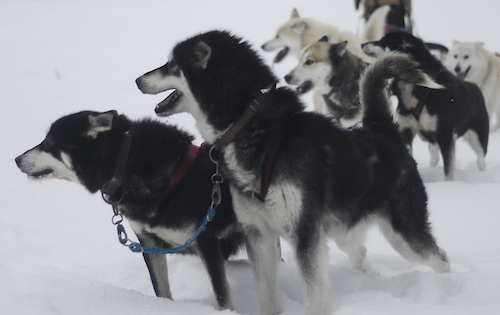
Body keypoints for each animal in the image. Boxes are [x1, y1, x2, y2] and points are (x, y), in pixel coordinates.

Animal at [17, 111, 246, 312]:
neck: (124, 164)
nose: (16, 159)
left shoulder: (205, 240)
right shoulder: (148, 242)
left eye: (49, 143)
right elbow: (160, 288)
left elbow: (221, 295)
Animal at [136, 31, 450, 315]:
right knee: (359, 251)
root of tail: (380, 130)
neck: (254, 126)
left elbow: (314, 295)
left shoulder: (305, 235)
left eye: (171, 64)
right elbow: (265, 293)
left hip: (405, 236)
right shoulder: (258, 234)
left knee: (440, 258)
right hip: (343, 230)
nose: (138, 80)